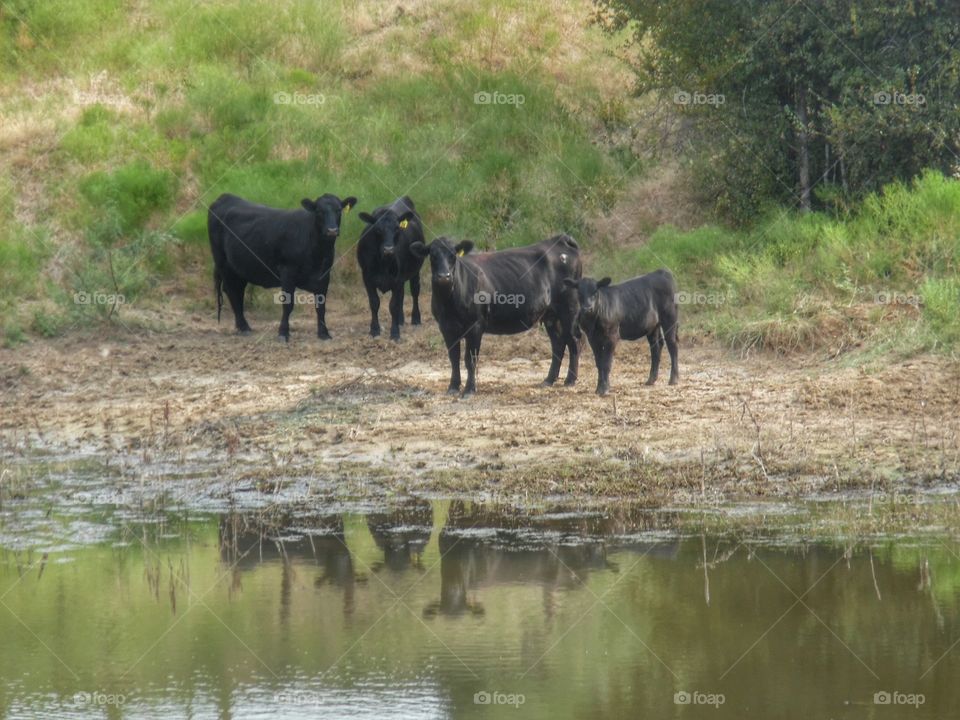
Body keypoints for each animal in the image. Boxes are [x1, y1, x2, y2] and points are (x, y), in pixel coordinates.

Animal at [208, 192, 357, 341]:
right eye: (319, 211)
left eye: (339, 210)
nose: (332, 230)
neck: (317, 252)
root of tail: (225, 197)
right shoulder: (287, 272)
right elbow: (288, 304)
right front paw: (283, 332)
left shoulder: (324, 275)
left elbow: (321, 305)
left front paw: (324, 333)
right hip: (222, 262)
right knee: (231, 291)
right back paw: (244, 327)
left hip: (239, 268)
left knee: (237, 291)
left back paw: (242, 326)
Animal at [356, 196, 426, 341]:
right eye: (377, 229)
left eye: (397, 228)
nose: (389, 250)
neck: (383, 263)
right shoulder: (367, 278)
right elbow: (374, 303)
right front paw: (374, 329)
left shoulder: (397, 279)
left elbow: (393, 305)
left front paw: (394, 333)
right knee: (402, 296)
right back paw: (400, 320)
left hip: (415, 272)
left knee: (415, 292)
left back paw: (415, 318)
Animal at [409, 235, 582, 397]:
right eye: (432, 255)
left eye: (453, 255)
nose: (444, 276)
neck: (449, 301)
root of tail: (560, 239)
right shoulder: (446, 327)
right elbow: (454, 358)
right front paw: (453, 386)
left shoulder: (475, 325)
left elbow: (470, 360)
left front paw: (469, 389)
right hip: (550, 315)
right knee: (558, 344)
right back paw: (549, 380)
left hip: (569, 309)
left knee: (574, 341)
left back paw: (570, 380)